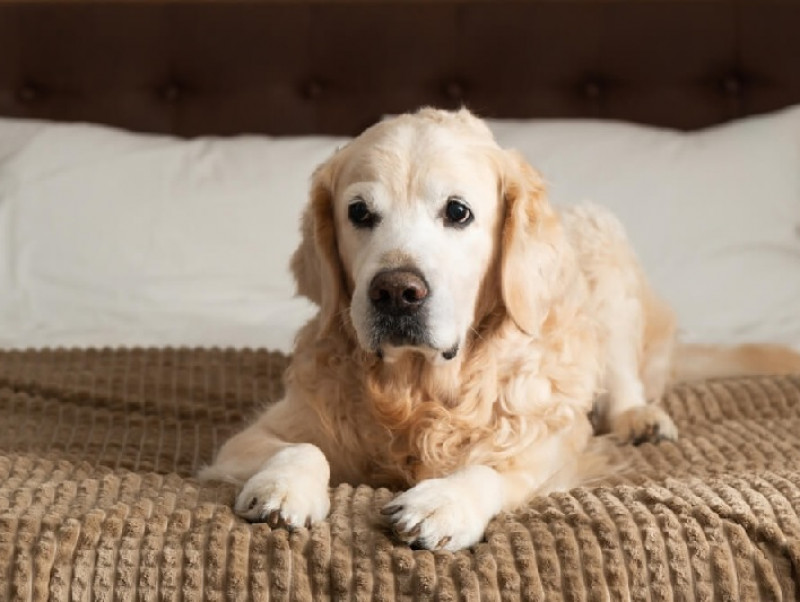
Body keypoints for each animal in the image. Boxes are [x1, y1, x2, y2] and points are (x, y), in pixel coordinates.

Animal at [198, 106, 800, 548]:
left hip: (603, 243)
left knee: (625, 379)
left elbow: (492, 470)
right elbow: (302, 448)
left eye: (457, 211)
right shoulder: (253, 436)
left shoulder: (552, 447)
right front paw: (282, 489)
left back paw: (640, 418)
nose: (396, 292)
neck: (416, 392)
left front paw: (443, 502)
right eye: (359, 213)